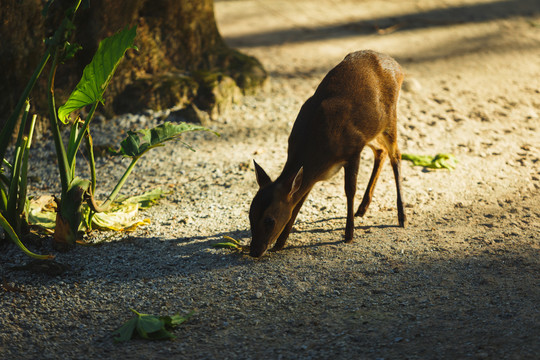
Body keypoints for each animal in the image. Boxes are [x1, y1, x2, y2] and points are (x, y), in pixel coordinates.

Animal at [248, 51, 404, 258]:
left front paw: (348, 235)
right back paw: (363, 209)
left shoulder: (353, 149)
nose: (254, 251)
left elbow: (349, 190)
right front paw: (280, 243)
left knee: (396, 155)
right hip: (373, 130)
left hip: (389, 120)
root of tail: (397, 66)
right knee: (381, 151)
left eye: (269, 220)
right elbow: (299, 202)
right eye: (250, 213)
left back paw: (402, 216)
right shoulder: (311, 175)